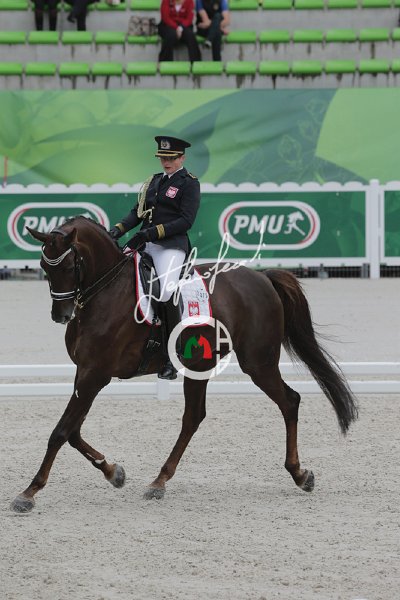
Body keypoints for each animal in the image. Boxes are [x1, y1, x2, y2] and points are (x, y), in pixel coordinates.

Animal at [11, 216, 358, 513]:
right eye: (43, 266)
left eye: (72, 264)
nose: (61, 315)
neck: (105, 292)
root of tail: (261, 276)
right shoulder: (86, 372)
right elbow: (72, 431)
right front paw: (114, 472)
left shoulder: (95, 374)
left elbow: (60, 431)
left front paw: (28, 493)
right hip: (201, 365)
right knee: (194, 417)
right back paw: (159, 481)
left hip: (258, 362)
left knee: (289, 401)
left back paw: (299, 475)